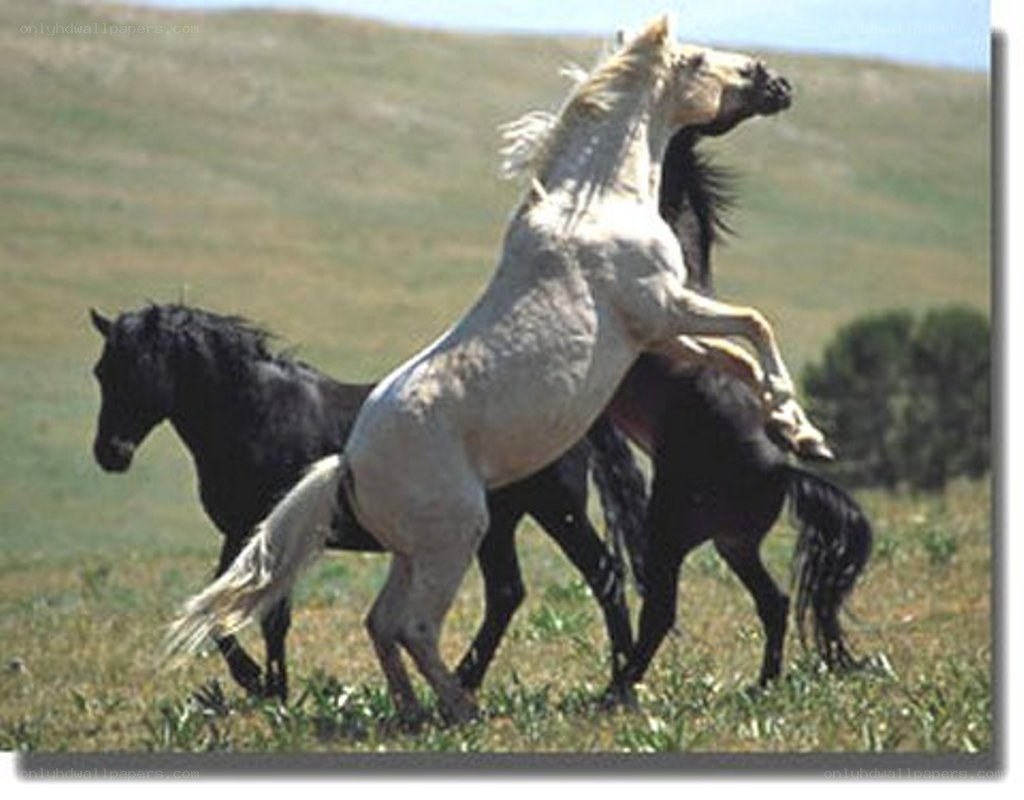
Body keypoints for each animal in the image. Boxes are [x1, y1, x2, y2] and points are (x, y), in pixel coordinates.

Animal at [90, 303, 640, 701]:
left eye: (141, 368)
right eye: (101, 371)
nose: (109, 454)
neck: (257, 412)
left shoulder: (267, 531)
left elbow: (262, 614)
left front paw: (265, 686)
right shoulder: (243, 532)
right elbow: (232, 604)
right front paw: (269, 685)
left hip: (554, 512)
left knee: (602, 577)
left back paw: (617, 686)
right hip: (498, 524)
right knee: (507, 593)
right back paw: (467, 680)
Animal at [166, 17, 828, 724]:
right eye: (705, 60)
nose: (778, 82)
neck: (597, 206)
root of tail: (348, 465)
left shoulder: (659, 333)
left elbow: (739, 352)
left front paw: (796, 429)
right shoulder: (662, 309)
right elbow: (755, 325)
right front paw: (802, 429)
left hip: (413, 552)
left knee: (381, 623)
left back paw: (413, 710)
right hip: (458, 538)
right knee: (415, 626)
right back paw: (462, 707)